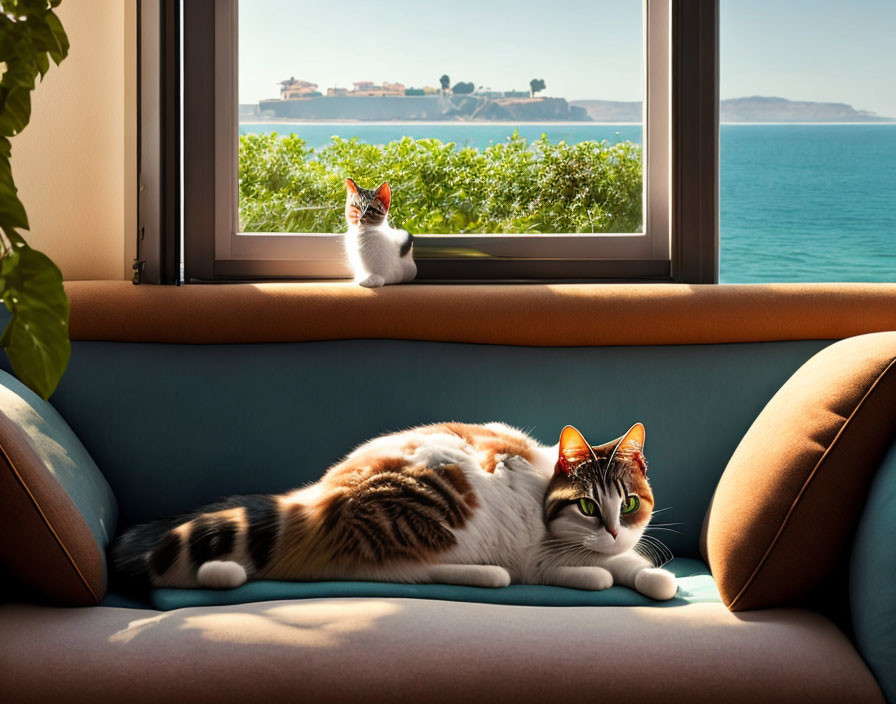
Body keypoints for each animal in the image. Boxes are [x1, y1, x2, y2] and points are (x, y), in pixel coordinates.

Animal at [110, 424, 672, 600]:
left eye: (628, 503)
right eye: (587, 506)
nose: (615, 531)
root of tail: (320, 494)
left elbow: (636, 564)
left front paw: (651, 574)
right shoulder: (541, 559)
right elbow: (596, 571)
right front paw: (607, 571)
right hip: (444, 511)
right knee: (395, 570)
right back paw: (487, 574)